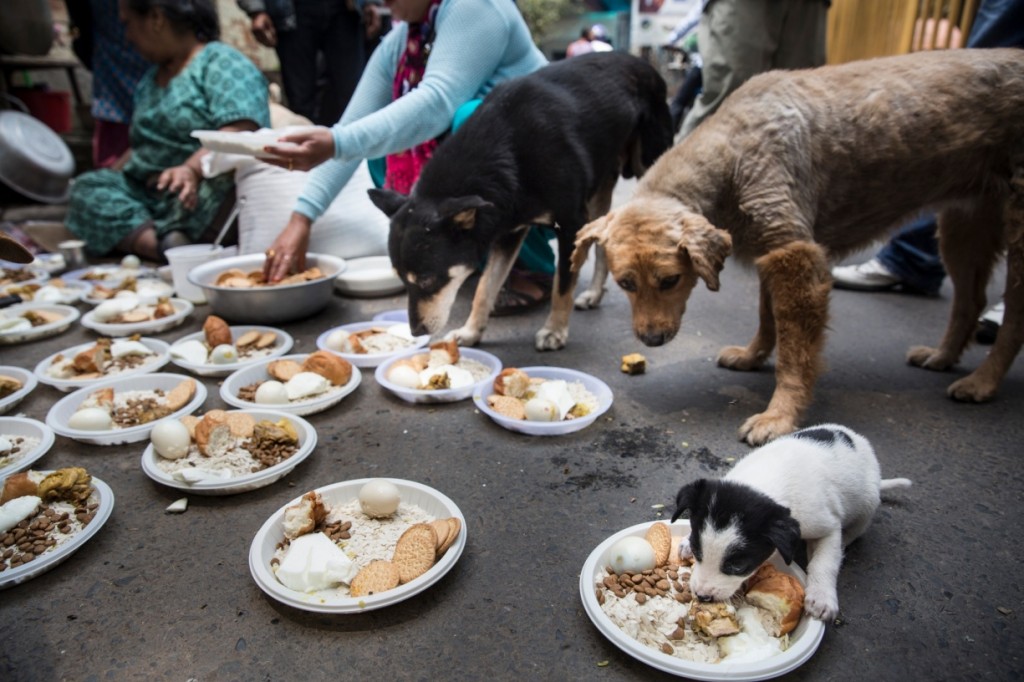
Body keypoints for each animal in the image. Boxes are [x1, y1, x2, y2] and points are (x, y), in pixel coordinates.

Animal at [577, 45, 1024, 444]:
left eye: (670, 281)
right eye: (626, 284)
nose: (651, 340)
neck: (734, 153)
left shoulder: (798, 258)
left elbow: (795, 354)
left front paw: (781, 414)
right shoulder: (772, 252)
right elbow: (767, 317)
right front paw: (753, 356)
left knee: (1012, 322)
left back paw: (983, 381)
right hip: (963, 227)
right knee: (969, 301)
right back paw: (944, 356)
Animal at [671, 425, 913, 622]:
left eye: (738, 566)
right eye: (697, 550)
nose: (702, 596)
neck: (763, 479)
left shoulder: (828, 526)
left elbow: (824, 563)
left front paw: (821, 597)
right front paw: (686, 543)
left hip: (867, 503)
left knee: (853, 530)